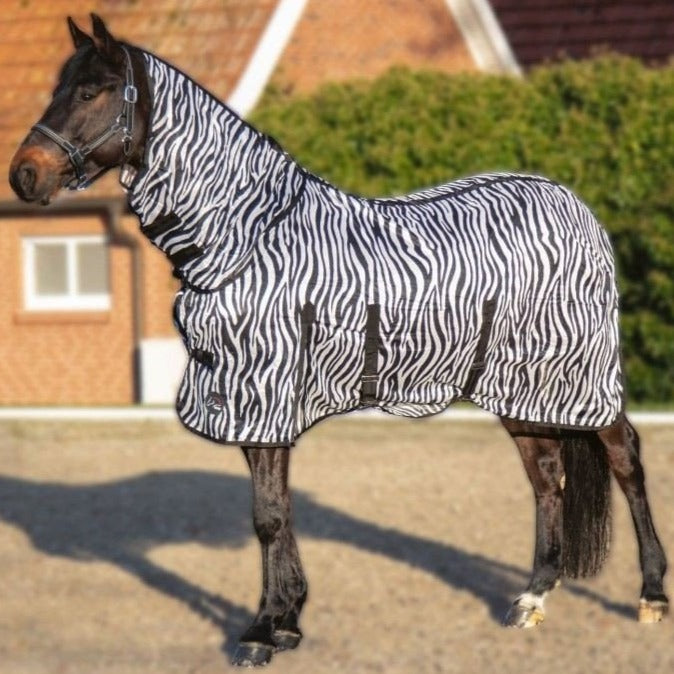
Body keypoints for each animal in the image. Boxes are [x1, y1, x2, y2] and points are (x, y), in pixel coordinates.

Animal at [9, 14, 668, 668]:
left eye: (91, 92)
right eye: (58, 87)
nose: (24, 175)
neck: (247, 240)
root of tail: (574, 203)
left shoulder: (265, 392)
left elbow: (268, 518)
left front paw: (260, 632)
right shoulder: (250, 402)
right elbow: (276, 511)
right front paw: (288, 621)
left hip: (582, 373)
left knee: (626, 460)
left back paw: (651, 595)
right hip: (520, 387)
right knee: (547, 477)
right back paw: (531, 598)